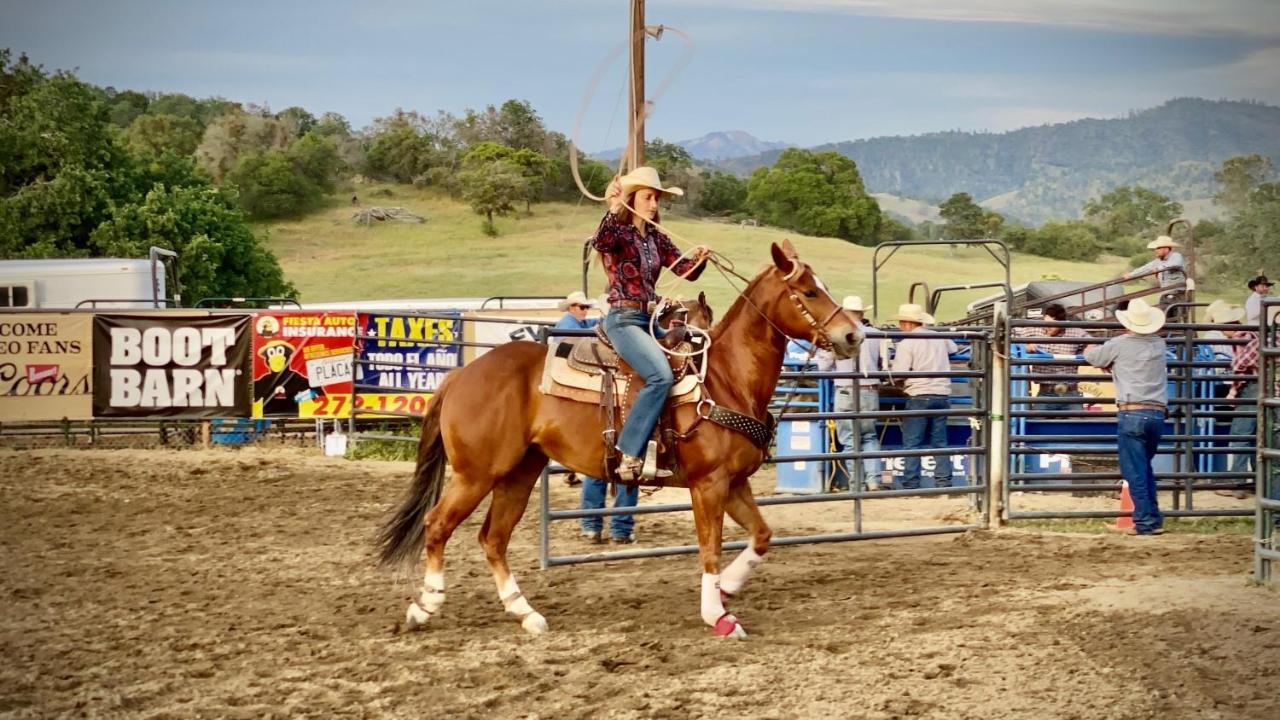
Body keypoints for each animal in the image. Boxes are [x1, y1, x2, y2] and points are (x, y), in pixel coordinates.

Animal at [376, 239, 860, 632]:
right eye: (810, 292)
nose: (853, 334)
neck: (724, 379)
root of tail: (460, 375)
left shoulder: (734, 483)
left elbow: (761, 536)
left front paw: (726, 589)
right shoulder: (708, 485)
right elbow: (710, 547)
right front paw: (717, 615)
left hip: (519, 472)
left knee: (493, 539)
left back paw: (526, 613)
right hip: (476, 474)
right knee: (438, 525)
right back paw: (425, 607)